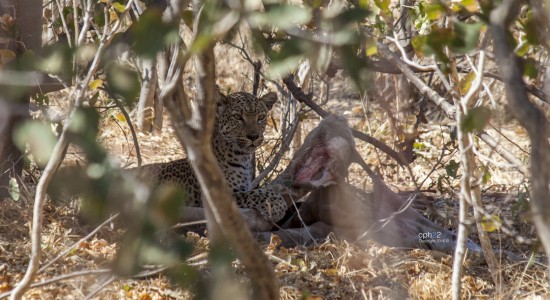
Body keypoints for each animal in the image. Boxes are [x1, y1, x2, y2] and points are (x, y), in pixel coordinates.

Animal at [130, 91, 288, 225]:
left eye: (260, 117)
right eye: (237, 117)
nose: (253, 136)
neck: (243, 158)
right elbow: (253, 194)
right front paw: (277, 204)